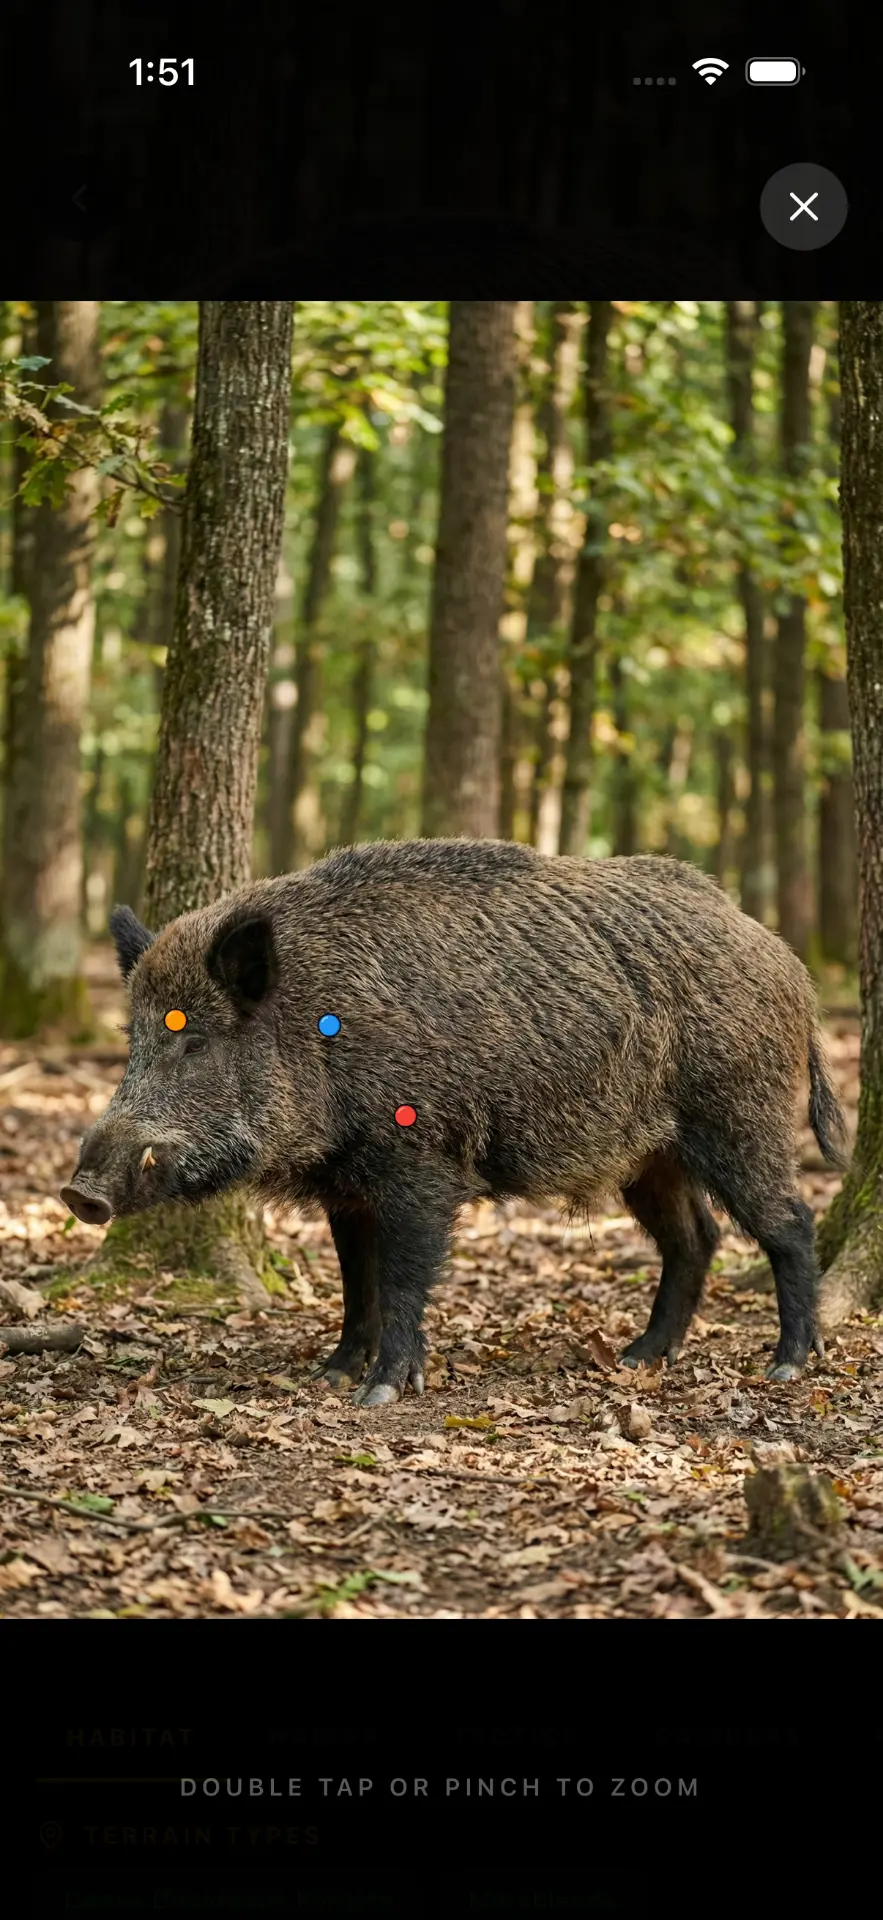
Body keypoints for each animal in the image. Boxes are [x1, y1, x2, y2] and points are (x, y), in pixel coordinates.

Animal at [61, 838, 847, 1405]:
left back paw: (785, 1366)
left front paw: (378, 1394)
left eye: (195, 1041)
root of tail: (790, 967)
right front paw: (330, 1375)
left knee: (790, 1223)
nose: (80, 1192)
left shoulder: (420, 1164)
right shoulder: (346, 1187)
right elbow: (357, 1281)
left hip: (738, 1114)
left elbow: (404, 1276)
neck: (319, 1025)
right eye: (133, 1040)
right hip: (649, 1154)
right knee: (695, 1237)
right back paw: (637, 1357)